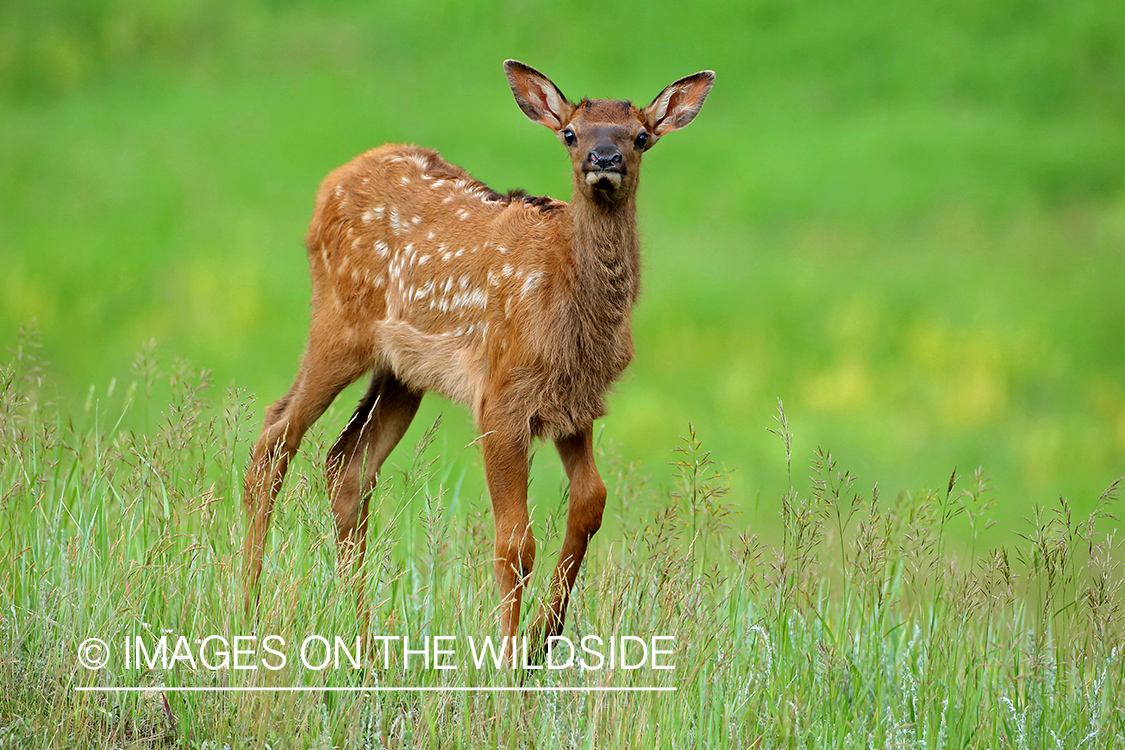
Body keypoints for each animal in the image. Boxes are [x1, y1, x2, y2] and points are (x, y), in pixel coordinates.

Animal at [243, 61, 715, 652]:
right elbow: (514, 541)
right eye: (571, 133)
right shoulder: (501, 396)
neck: (568, 302)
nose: (603, 160)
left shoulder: (574, 402)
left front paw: (544, 639)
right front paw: (508, 659)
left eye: (641, 136)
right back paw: (246, 609)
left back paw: (366, 644)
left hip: (402, 371)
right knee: (274, 437)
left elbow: (590, 503)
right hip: (339, 323)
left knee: (345, 462)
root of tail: (331, 183)